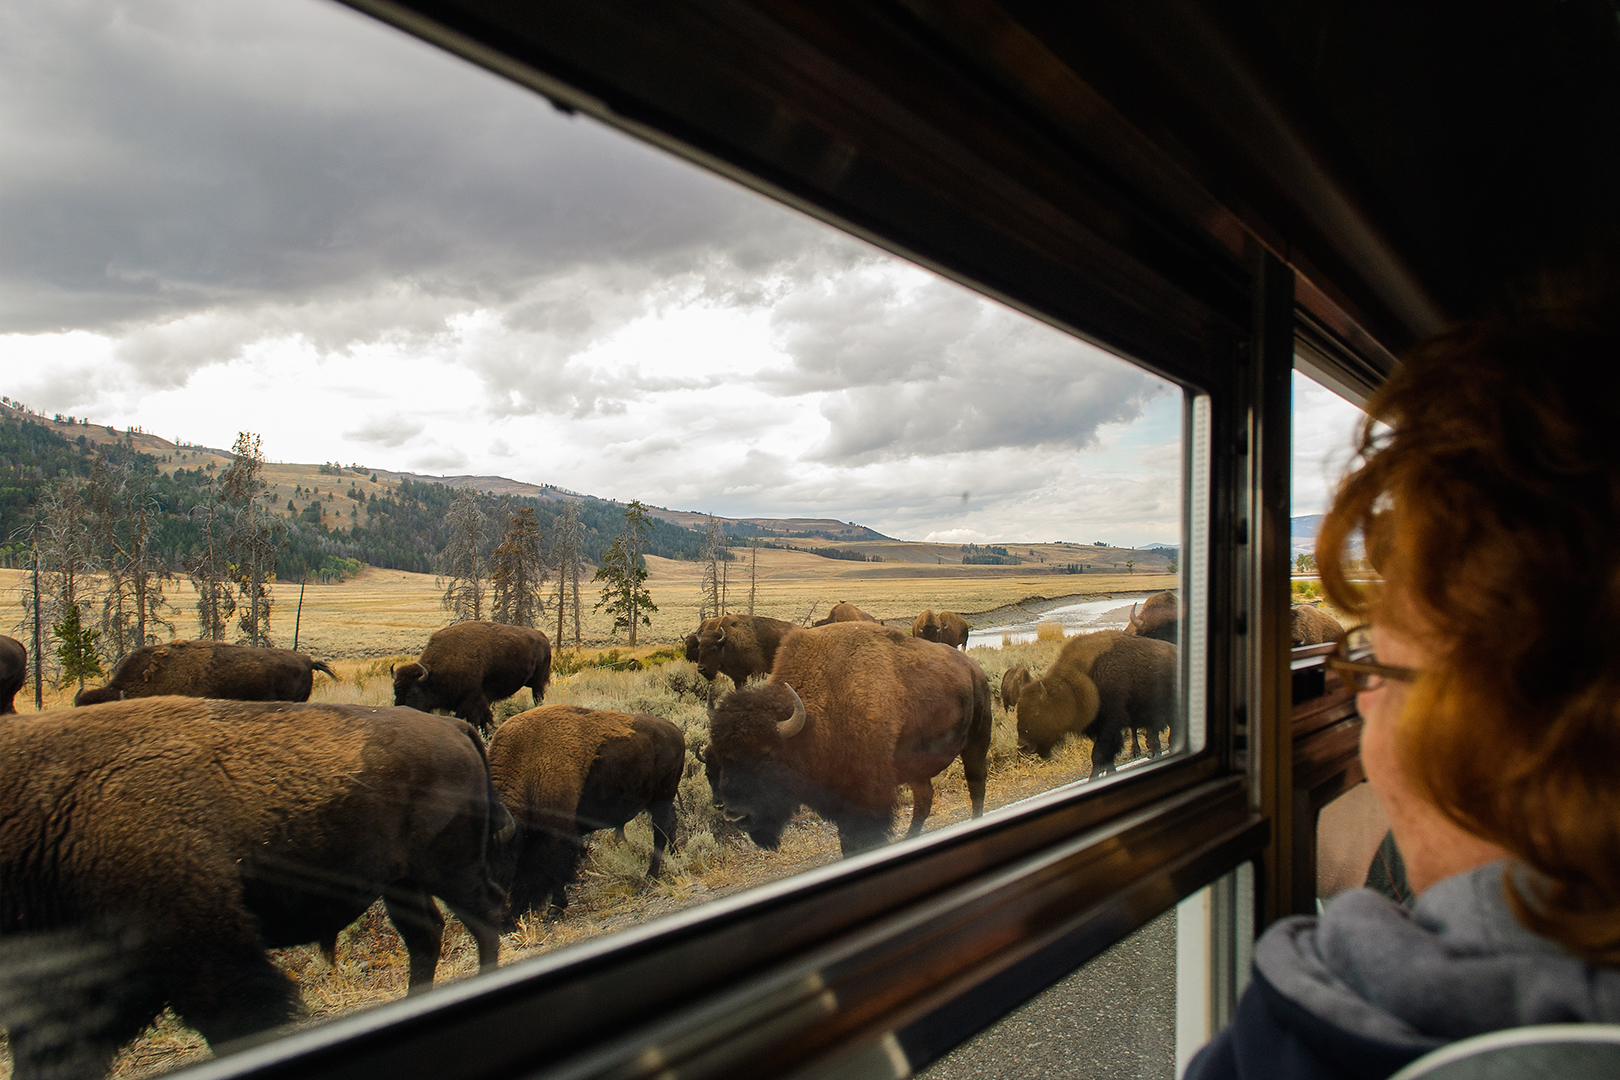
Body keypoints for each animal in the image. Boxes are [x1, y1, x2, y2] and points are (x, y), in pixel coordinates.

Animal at [0, 696, 505, 1075]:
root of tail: (455, 728)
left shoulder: (205, 957)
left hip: (450, 871)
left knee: (484, 918)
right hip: (402, 882)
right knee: (428, 935)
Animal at [390, 615, 550, 735]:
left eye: (414, 693)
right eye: (395, 691)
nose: (400, 713)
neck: (432, 675)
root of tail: (543, 636)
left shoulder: (472, 699)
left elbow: (472, 718)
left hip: (538, 683)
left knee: (538, 697)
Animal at [482, 705, 680, 926]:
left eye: (497, 861)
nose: (497, 918)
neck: (526, 762)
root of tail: (674, 730)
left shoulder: (557, 834)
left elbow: (555, 871)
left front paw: (554, 910)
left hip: (661, 798)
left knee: (660, 833)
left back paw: (649, 880)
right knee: (670, 826)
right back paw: (676, 860)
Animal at [706, 621, 991, 854]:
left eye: (767, 755)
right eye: (721, 757)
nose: (735, 817)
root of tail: (975, 669)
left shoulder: (868, 797)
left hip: (976, 743)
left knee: (976, 787)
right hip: (916, 767)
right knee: (924, 800)